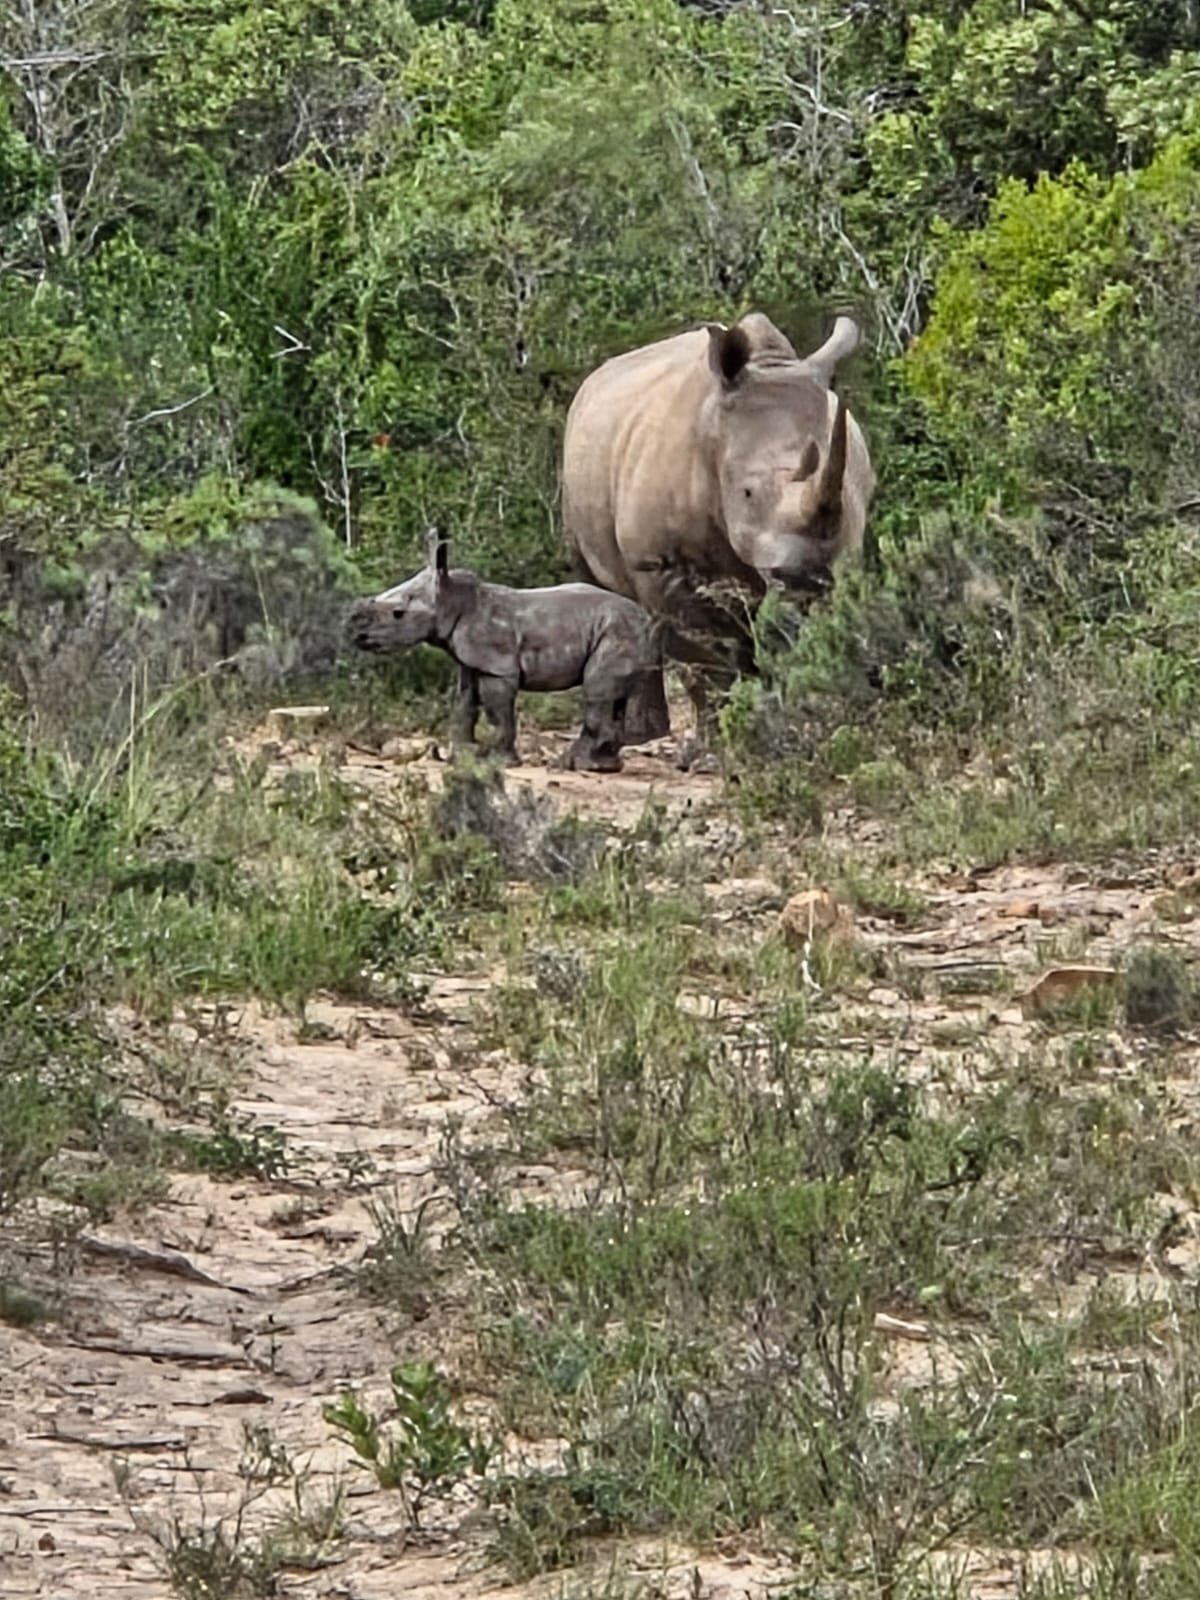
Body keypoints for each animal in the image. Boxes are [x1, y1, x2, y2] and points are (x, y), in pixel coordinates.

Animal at [349, 530, 664, 772]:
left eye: (397, 614)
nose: (358, 637)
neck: (450, 600)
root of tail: (648, 619)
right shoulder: (472, 662)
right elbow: (464, 705)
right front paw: (460, 758)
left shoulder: (497, 666)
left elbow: (497, 712)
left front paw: (499, 762)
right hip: (620, 630)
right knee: (614, 696)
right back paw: (603, 766)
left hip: (619, 631)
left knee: (597, 691)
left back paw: (569, 766)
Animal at [562, 311, 875, 754]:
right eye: (747, 492)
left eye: (845, 497)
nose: (806, 575)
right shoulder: (661, 565)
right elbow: (705, 657)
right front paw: (712, 750)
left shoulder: (837, 563)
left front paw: (778, 734)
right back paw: (636, 736)